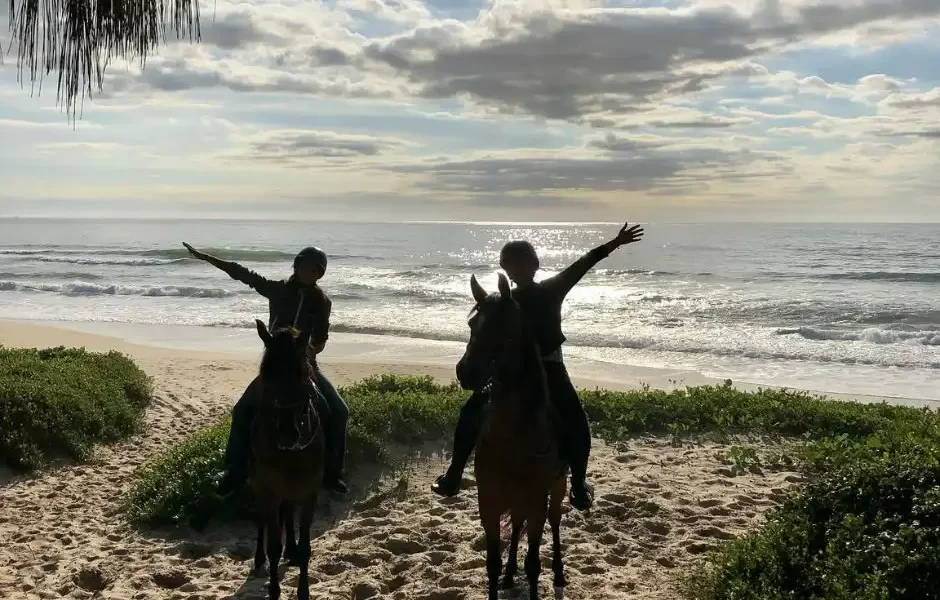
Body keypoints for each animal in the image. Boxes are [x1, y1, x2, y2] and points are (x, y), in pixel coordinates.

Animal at [250, 322, 326, 600]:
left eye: (303, 373)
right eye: (267, 374)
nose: (286, 434)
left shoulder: (309, 492)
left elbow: (305, 546)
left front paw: (303, 590)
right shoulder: (269, 490)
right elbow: (273, 544)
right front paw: (274, 590)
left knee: (288, 513)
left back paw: (290, 551)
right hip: (258, 487)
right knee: (261, 520)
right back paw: (259, 560)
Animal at [456, 274, 564, 600]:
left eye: (502, 326)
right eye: (472, 324)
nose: (465, 372)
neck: (514, 435)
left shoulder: (536, 502)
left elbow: (534, 564)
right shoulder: (489, 502)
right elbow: (491, 563)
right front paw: (502, 573)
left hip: (558, 487)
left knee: (556, 522)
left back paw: (559, 573)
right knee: (516, 525)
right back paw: (509, 573)